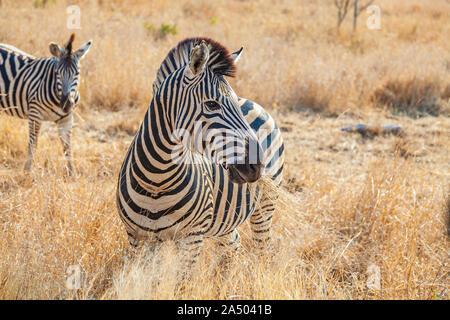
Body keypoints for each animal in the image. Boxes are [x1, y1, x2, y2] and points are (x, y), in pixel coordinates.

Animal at [0, 33, 91, 174]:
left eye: (77, 73)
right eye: (57, 73)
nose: (66, 104)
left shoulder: (66, 118)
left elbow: (67, 146)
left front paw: (72, 173)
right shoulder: (35, 114)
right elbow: (33, 144)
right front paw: (27, 172)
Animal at [118, 36, 284, 268]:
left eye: (233, 104)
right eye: (212, 104)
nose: (257, 165)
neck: (157, 180)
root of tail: (252, 102)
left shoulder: (191, 238)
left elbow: (182, 278)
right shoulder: (137, 238)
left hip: (265, 205)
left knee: (262, 247)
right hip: (225, 217)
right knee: (233, 243)